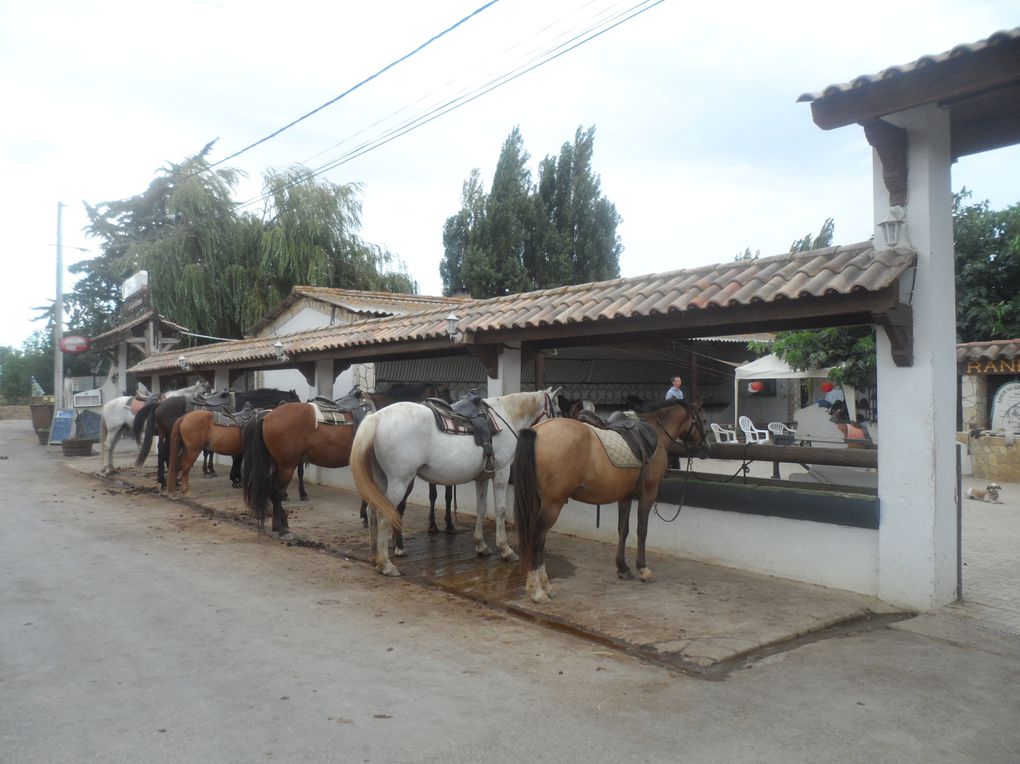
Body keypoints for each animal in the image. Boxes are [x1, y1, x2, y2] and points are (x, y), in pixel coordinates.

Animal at [514, 399, 705, 603]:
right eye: (703, 419)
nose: (705, 448)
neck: (655, 431)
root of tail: (537, 431)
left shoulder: (625, 495)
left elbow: (623, 529)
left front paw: (623, 568)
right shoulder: (648, 493)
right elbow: (642, 530)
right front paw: (643, 569)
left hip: (538, 502)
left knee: (538, 540)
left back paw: (545, 586)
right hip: (552, 505)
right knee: (536, 539)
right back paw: (538, 590)